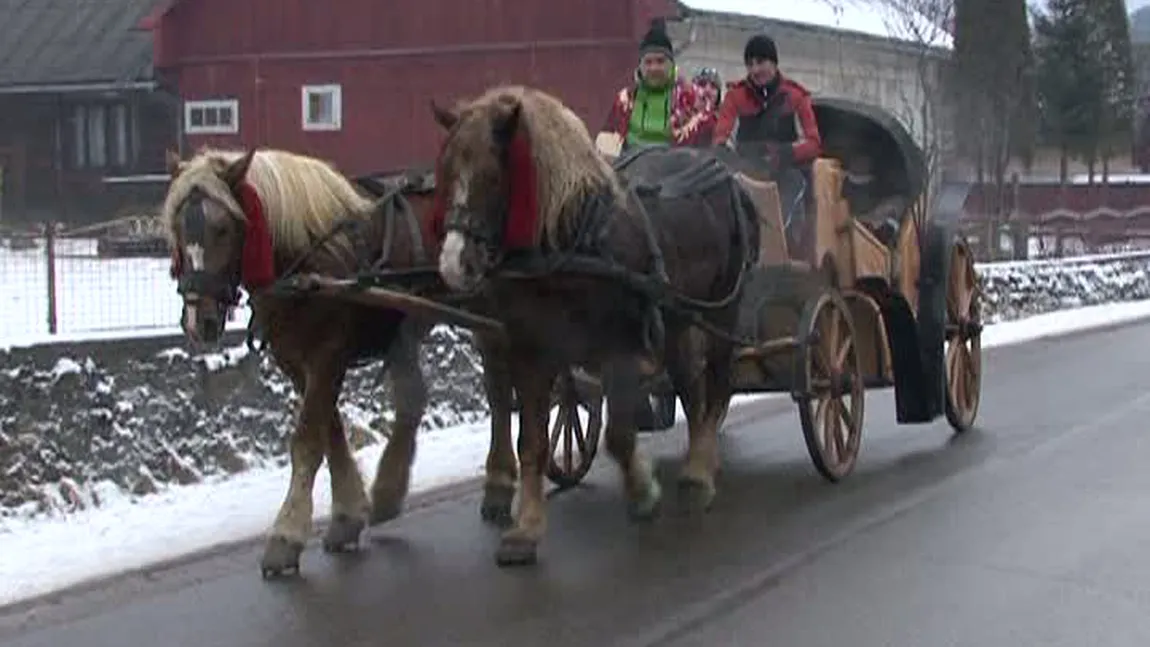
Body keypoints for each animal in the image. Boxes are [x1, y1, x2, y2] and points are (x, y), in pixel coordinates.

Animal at [159, 147, 519, 576]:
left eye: (224, 229)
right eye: (178, 229)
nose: (200, 321)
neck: (307, 255)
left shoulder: (328, 354)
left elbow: (307, 442)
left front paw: (286, 535)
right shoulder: (298, 362)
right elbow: (331, 434)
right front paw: (347, 515)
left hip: (490, 313)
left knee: (498, 393)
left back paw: (498, 483)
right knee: (425, 397)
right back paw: (392, 491)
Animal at [427, 86, 759, 567]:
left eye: (492, 177)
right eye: (447, 172)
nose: (454, 264)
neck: (572, 240)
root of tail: (728, 178)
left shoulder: (619, 348)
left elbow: (618, 437)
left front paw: (643, 493)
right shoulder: (531, 351)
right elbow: (533, 442)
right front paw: (526, 530)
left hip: (720, 311)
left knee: (716, 385)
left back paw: (699, 473)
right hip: (677, 321)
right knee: (690, 388)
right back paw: (699, 463)